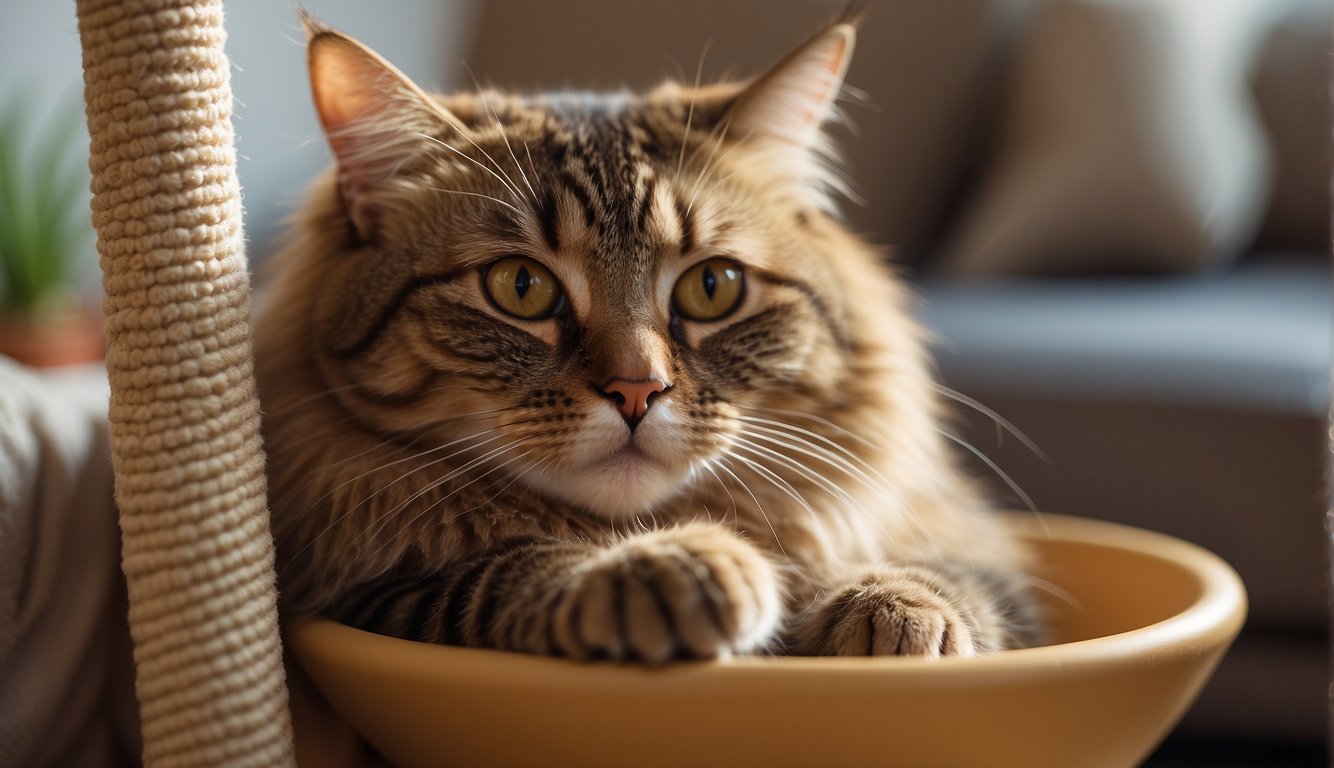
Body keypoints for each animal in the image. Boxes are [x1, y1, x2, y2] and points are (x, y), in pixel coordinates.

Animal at [252, 9, 1040, 664]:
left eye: (713, 286)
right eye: (519, 287)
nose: (637, 389)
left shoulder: (977, 548)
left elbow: (951, 577)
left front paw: (893, 612)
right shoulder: (370, 594)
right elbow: (509, 567)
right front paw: (676, 568)